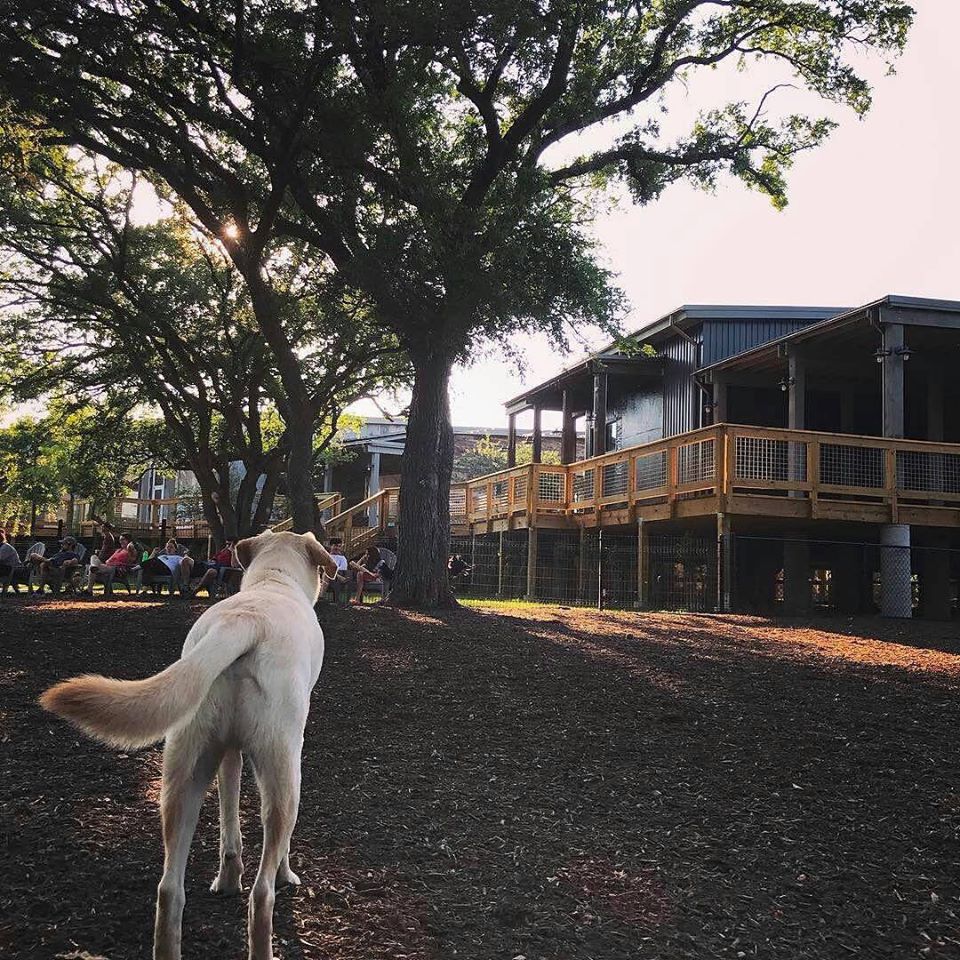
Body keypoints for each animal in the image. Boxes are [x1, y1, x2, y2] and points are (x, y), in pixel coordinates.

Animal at [41, 528, 342, 960]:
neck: (274, 581)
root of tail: (244, 622)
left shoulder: (229, 753)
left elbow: (229, 819)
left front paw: (227, 878)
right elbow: (278, 848)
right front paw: (285, 874)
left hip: (184, 773)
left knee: (169, 890)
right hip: (283, 773)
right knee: (262, 894)